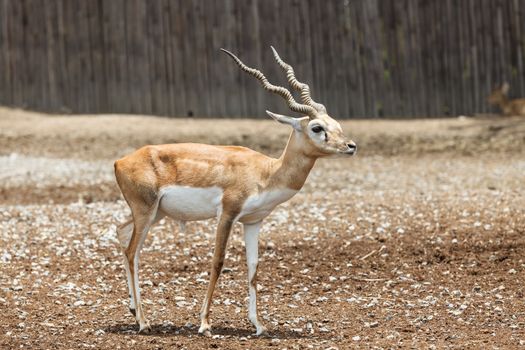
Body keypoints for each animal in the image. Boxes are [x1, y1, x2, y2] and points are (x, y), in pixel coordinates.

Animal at [114, 47, 356, 336]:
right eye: (317, 128)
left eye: (335, 123)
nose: (351, 146)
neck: (265, 172)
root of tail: (121, 161)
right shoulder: (227, 214)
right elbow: (218, 261)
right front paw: (205, 323)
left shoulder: (253, 221)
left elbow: (253, 268)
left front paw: (258, 325)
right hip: (146, 212)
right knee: (132, 252)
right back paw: (143, 321)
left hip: (154, 213)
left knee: (122, 234)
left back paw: (132, 310)